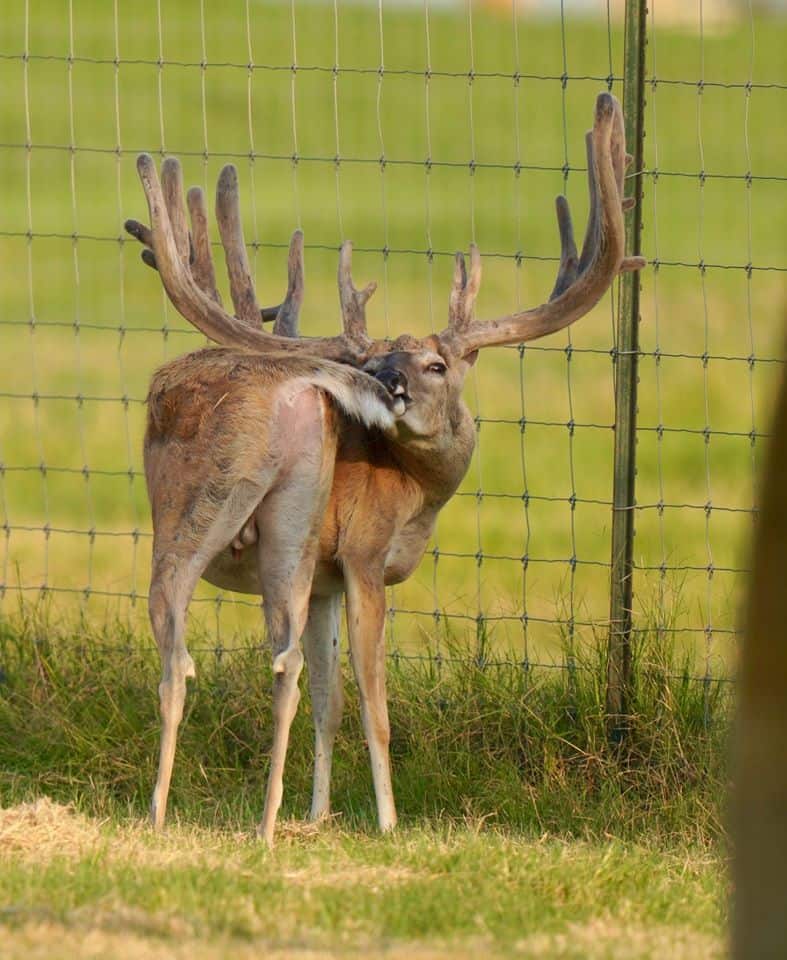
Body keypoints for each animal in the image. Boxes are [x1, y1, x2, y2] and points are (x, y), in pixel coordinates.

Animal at [124, 92, 644, 846]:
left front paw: (325, 815)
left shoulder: (333, 572)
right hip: (220, 511)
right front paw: (377, 821)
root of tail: (298, 391)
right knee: (198, 654)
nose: (390, 385)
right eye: (376, 361)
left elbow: (335, 699)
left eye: (436, 364)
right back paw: (192, 818)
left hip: (256, 518)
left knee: (231, 658)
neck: (417, 499)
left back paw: (232, 823)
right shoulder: (360, 559)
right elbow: (365, 704)